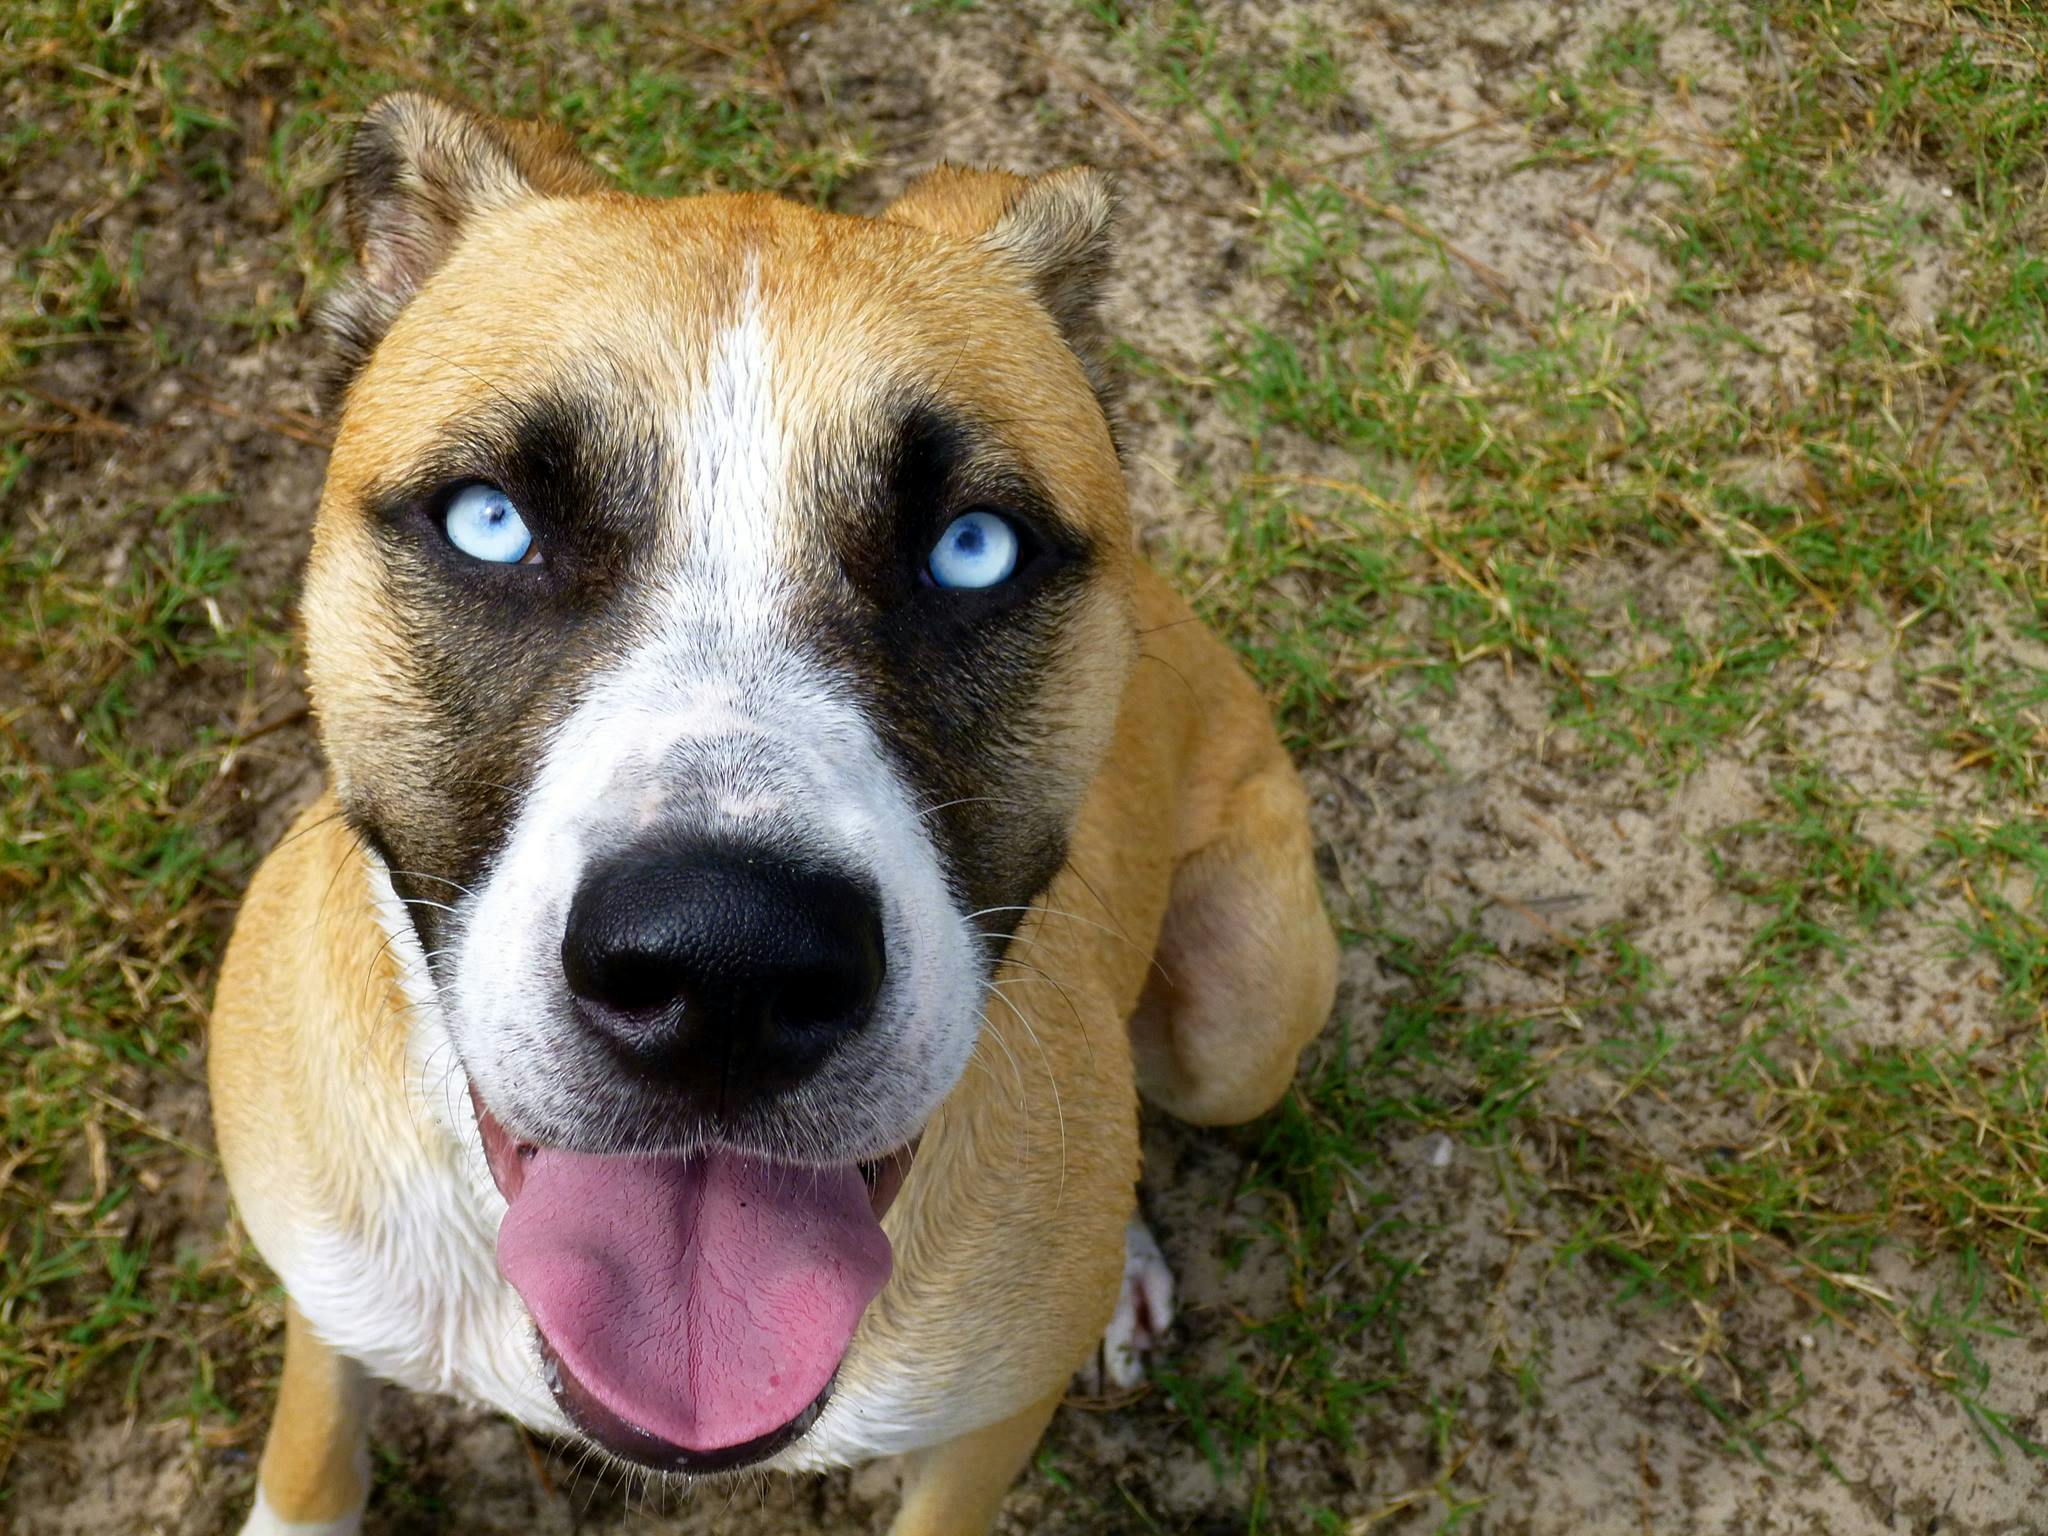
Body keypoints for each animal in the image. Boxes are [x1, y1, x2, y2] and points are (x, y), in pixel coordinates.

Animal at [216, 96, 1335, 1536]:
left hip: (1240, 1025)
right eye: (490, 521)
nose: (726, 968)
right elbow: (313, 1454)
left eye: (973, 547)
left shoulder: (980, 1439)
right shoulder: (333, 1292)